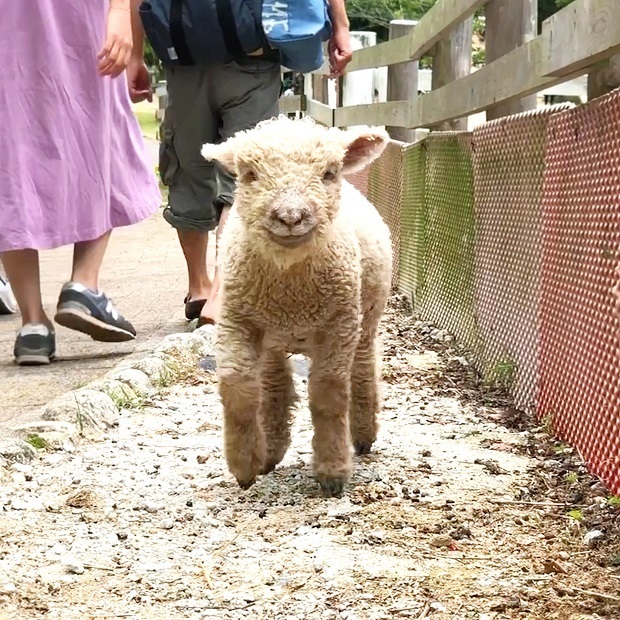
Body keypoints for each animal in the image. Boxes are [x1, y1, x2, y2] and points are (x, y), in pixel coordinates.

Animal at [201, 114, 390, 496]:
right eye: (248, 174)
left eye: (329, 172)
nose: (290, 216)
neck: (291, 291)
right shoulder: (236, 320)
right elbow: (237, 388)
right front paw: (244, 466)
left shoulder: (339, 324)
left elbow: (328, 395)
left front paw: (332, 471)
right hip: (272, 337)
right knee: (274, 384)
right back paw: (271, 450)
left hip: (365, 317)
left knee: (363, 368)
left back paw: (363, 434)